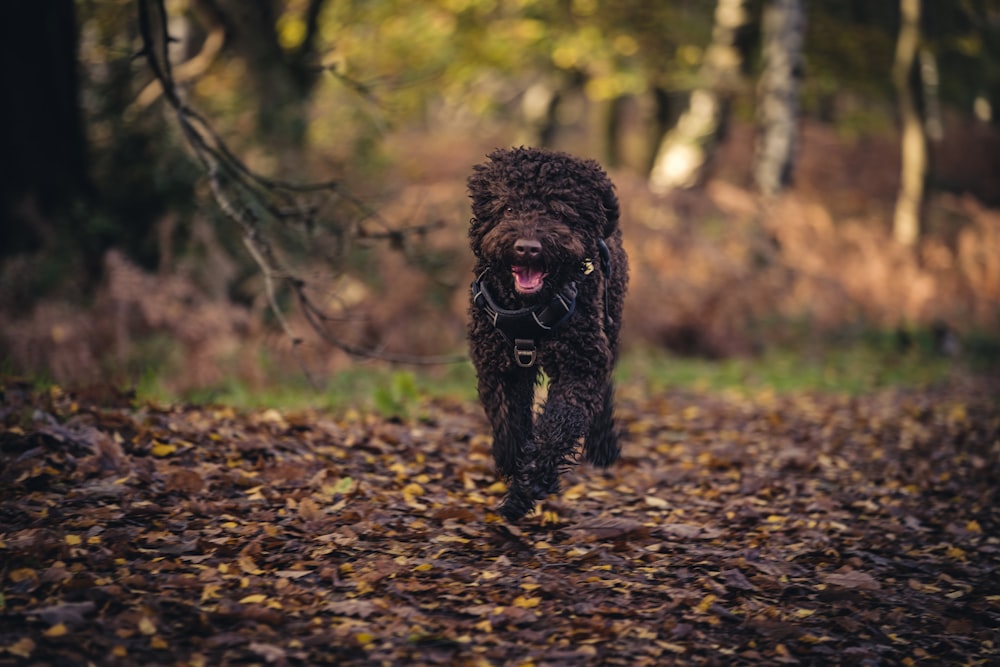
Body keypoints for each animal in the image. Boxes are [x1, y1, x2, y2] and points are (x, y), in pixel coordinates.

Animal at [466, 146, 624, 520]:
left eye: (557, 210)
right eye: (508, 208)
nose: (527, 247)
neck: (529, 310)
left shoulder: (581, 367)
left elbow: (558, 427)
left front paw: (531, 483)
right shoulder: (498, 367)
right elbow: (507, 420)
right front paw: (512, 460)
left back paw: (603, 445)